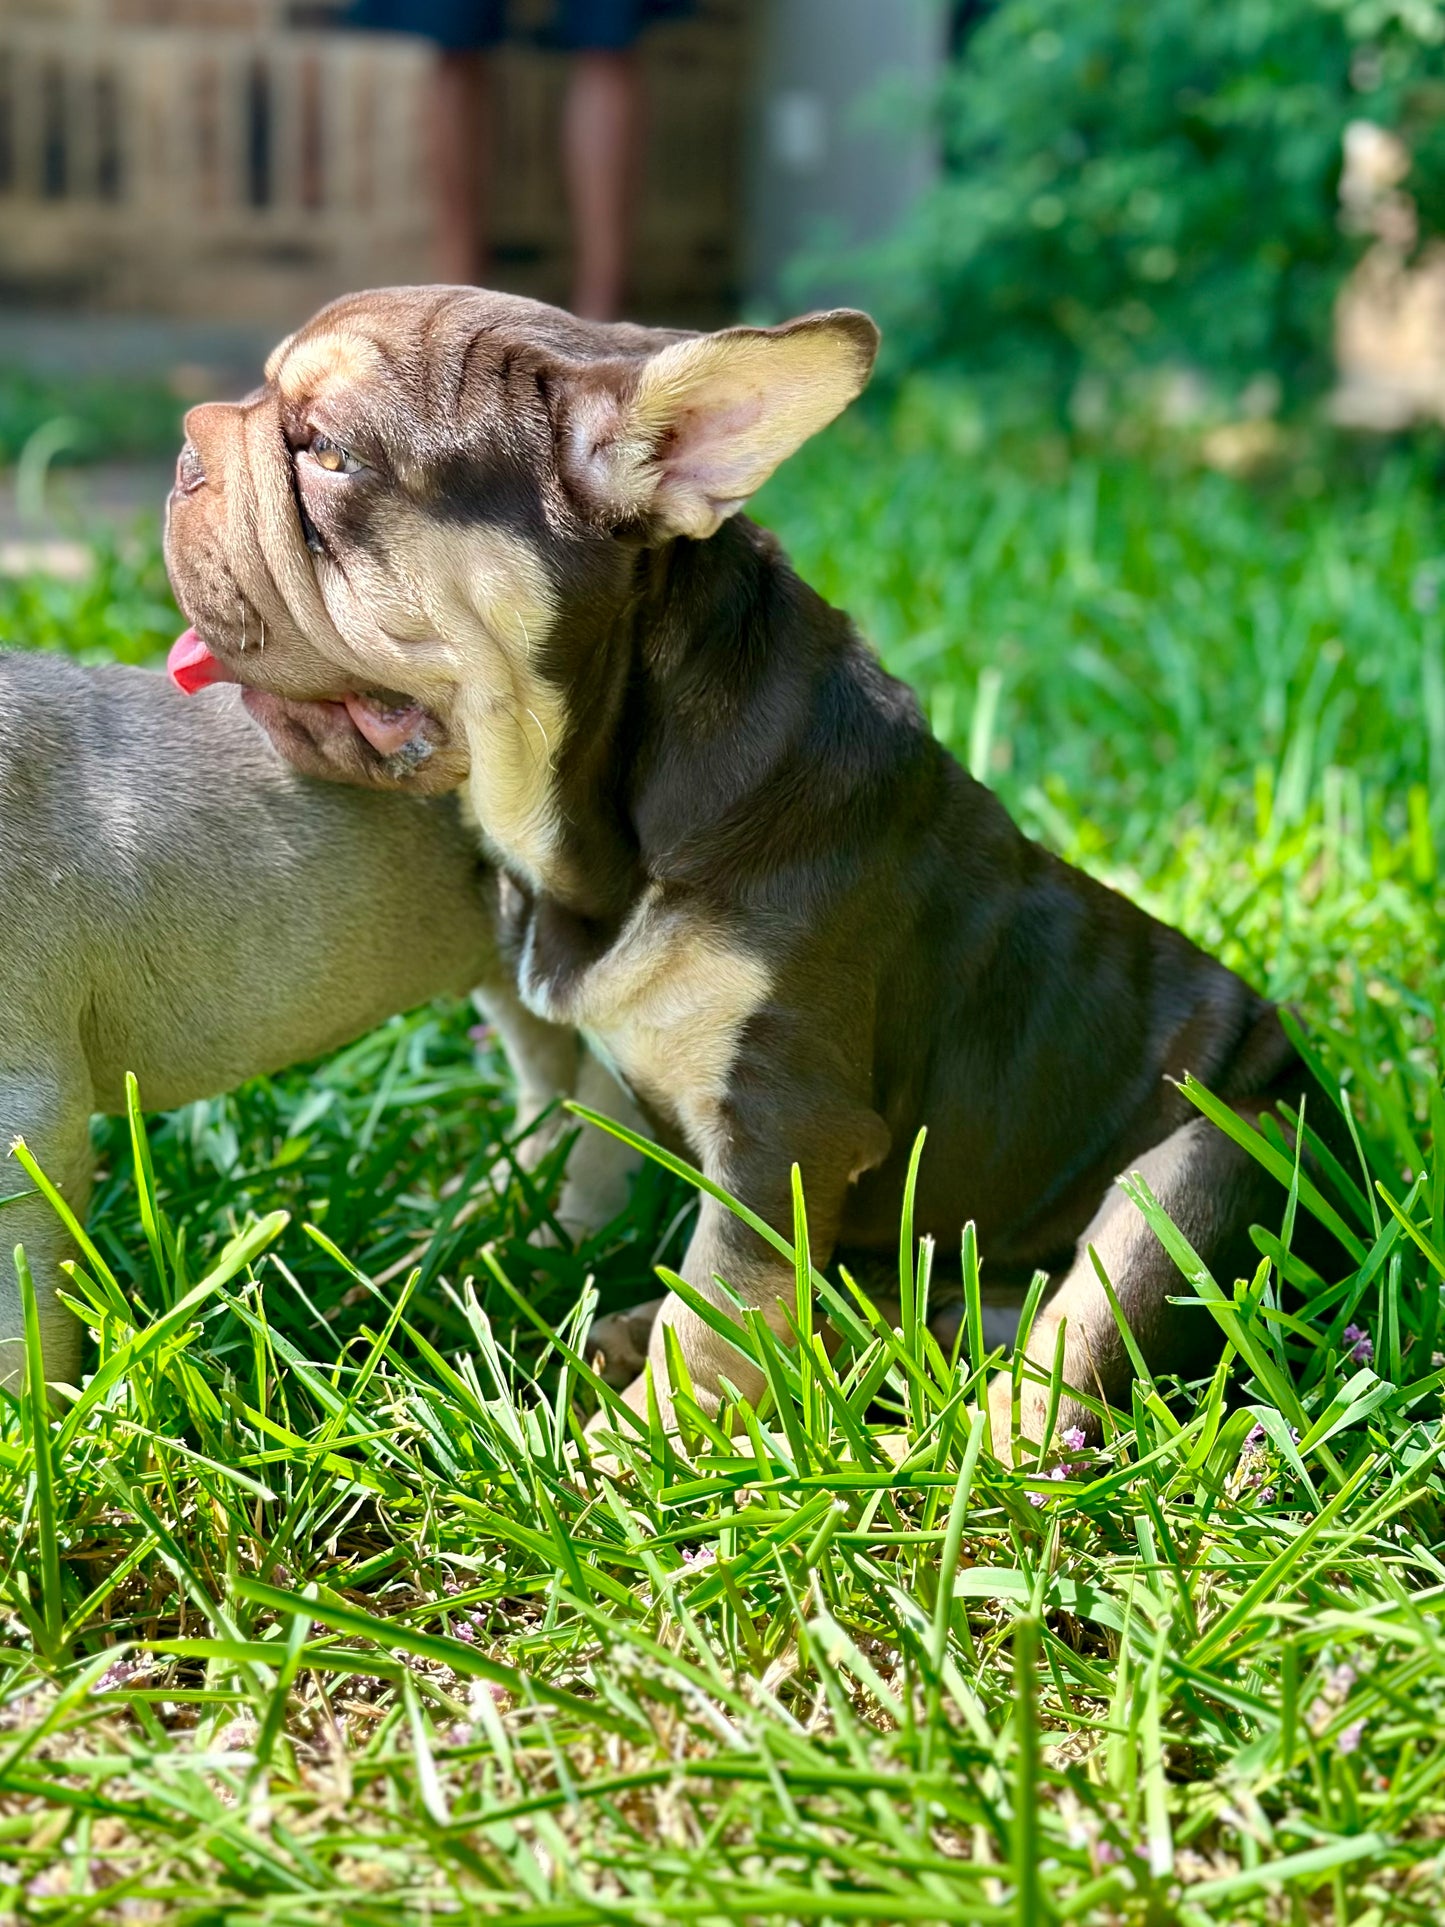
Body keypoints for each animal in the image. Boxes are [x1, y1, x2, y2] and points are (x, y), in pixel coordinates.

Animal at [163, 285, 1356, 1449]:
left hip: (1212, 1166)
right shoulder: (610, 1069)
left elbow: (721, 1298)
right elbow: (583, 1182)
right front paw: (444, 1269)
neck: (601, 795)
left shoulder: (785, 1124)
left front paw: (632, 1452)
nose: (185, 448)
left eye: (329, 453)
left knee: (1072, 1345)